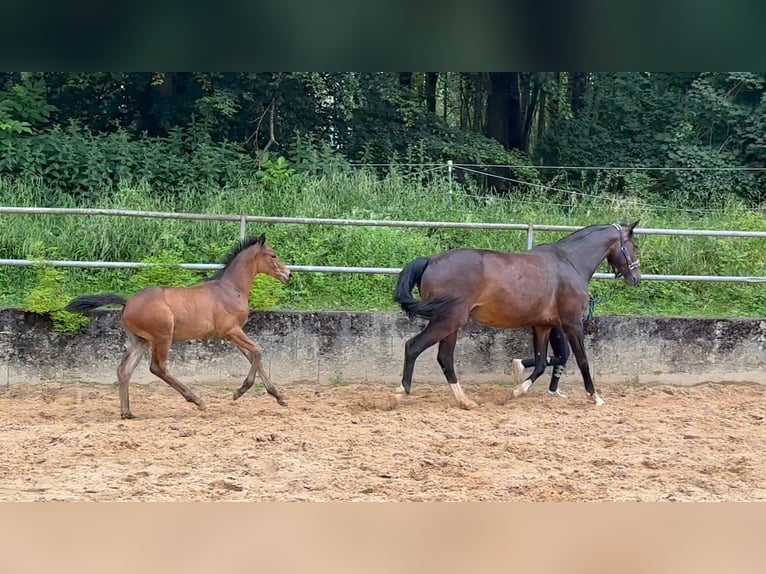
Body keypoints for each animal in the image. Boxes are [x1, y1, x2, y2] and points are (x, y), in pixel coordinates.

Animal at [66, 234, 292, 418]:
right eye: (273, 255)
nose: (288, 274)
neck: (230, 289)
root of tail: (128, 302)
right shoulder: (232, 331)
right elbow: (258, 351)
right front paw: (240, 391)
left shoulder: (233, 334)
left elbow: (254, 357)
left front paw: (279, 397)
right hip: (163, 336)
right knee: (157, 367)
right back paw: (197, 400)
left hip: (141, 341)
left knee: (124, 369)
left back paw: (127, 412)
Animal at [396, 222, 640, 410]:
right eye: (634, 246)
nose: (636, 278)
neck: (570, 262)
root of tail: (431, 260)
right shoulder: (572, 323)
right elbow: (582, 361)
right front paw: (595, 397)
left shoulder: (542, 326)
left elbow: (541, 363)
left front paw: (514, 391)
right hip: (447, 320)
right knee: (413, 346)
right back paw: (401, 392)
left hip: (451, 325)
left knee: (445, 358)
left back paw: (466, 401)